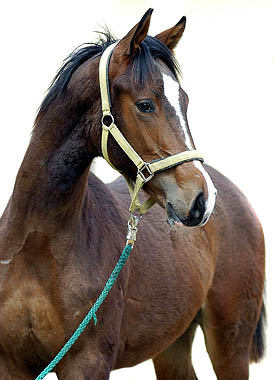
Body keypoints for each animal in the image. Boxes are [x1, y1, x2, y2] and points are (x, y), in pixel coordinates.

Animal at [0, 8, 266, 380]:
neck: (38, 243)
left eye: (184, 101)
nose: (202, 199)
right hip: (173, 343)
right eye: (145, 105)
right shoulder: (10, 364)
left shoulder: (87, 362)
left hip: (229, 345)